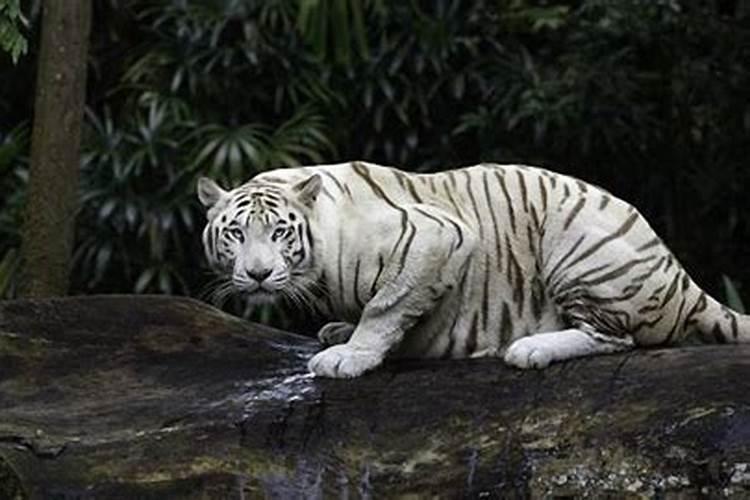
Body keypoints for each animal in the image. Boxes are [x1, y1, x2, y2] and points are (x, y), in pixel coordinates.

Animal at [198, 162, 750, 376]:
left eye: (279, 233)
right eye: (236, 234)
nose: (259, 275)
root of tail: (679, 278)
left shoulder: (437, 235)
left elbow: (385, 306)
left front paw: (349, 356)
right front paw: (339, 331)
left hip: (576, 242)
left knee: (618, 338)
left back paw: (529, 348)